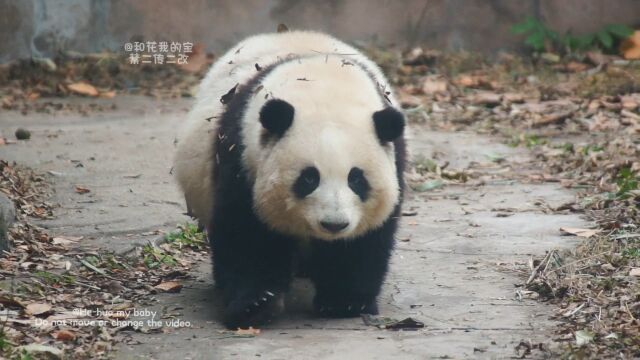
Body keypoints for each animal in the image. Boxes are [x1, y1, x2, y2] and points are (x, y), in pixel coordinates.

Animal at [174, 31, 404, 330]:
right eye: (309, 178)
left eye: (357, 179)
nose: (334, 224)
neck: (325, 88)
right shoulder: (242, 158)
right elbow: (246, 234)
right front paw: (255, 304)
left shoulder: (394, 161)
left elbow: (363, 242)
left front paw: (344, 302)